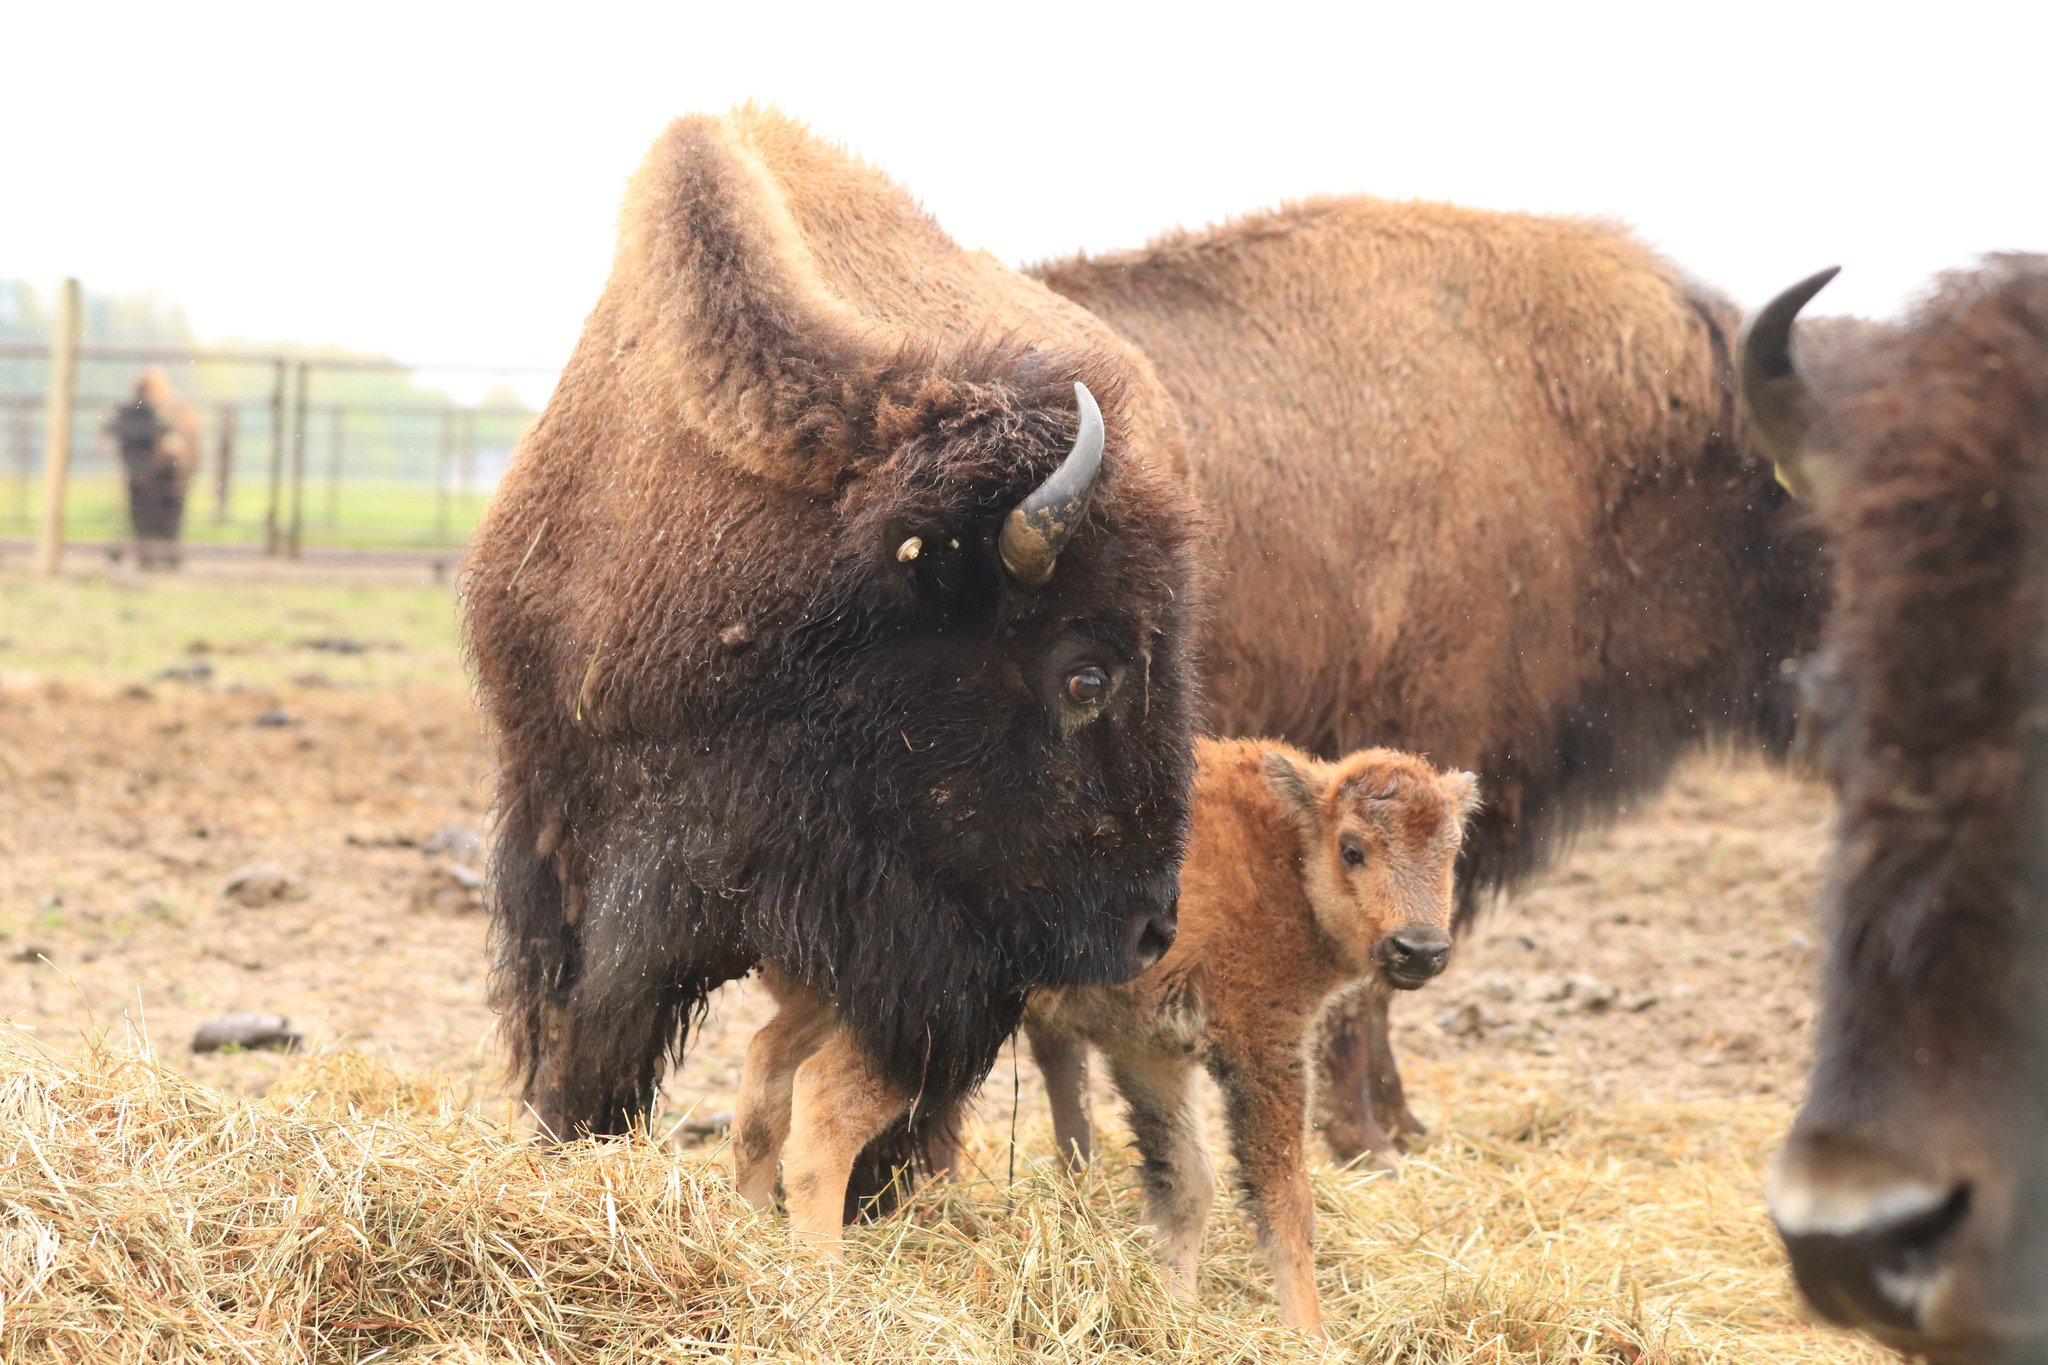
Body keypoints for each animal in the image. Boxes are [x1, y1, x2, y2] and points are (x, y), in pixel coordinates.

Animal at [105, 368, 200, 571]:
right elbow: (140, 522)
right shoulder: (134, 493)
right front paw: (145, 562)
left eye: (148, 440)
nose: (134, 473)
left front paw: (173, 562)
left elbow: (173, 521)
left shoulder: (175, 489)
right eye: (122, 439)